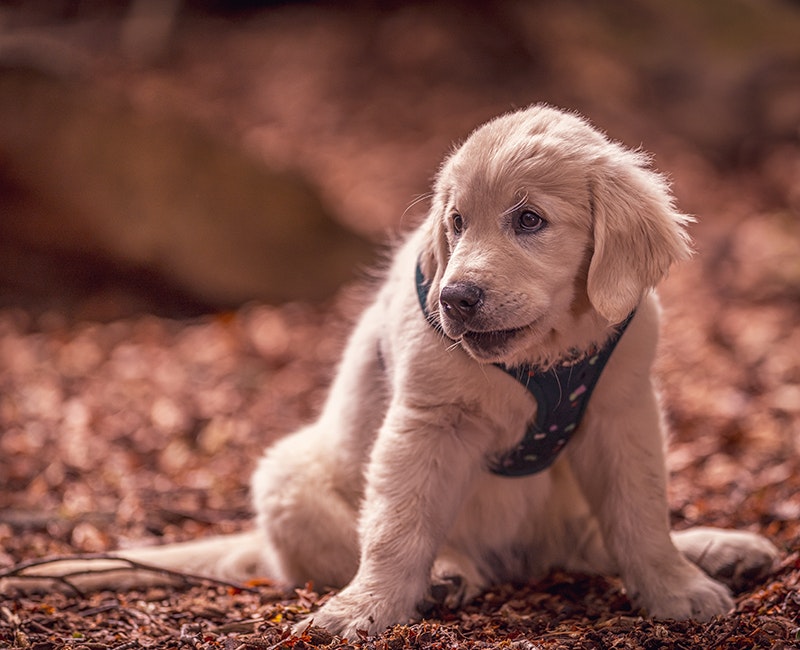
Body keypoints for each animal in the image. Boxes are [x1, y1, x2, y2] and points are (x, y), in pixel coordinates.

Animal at [1, 106, 776, 636]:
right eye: (456, 222)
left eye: (529, 220)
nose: (455, 299)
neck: (539, 355)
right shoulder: (426, 423)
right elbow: (396, 526)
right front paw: (365, 609)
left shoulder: (623, 412)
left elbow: (639, 515)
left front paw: (674, 588)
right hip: (287, 478)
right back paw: (445, 574)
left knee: (591, 540)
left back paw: (720, 549)